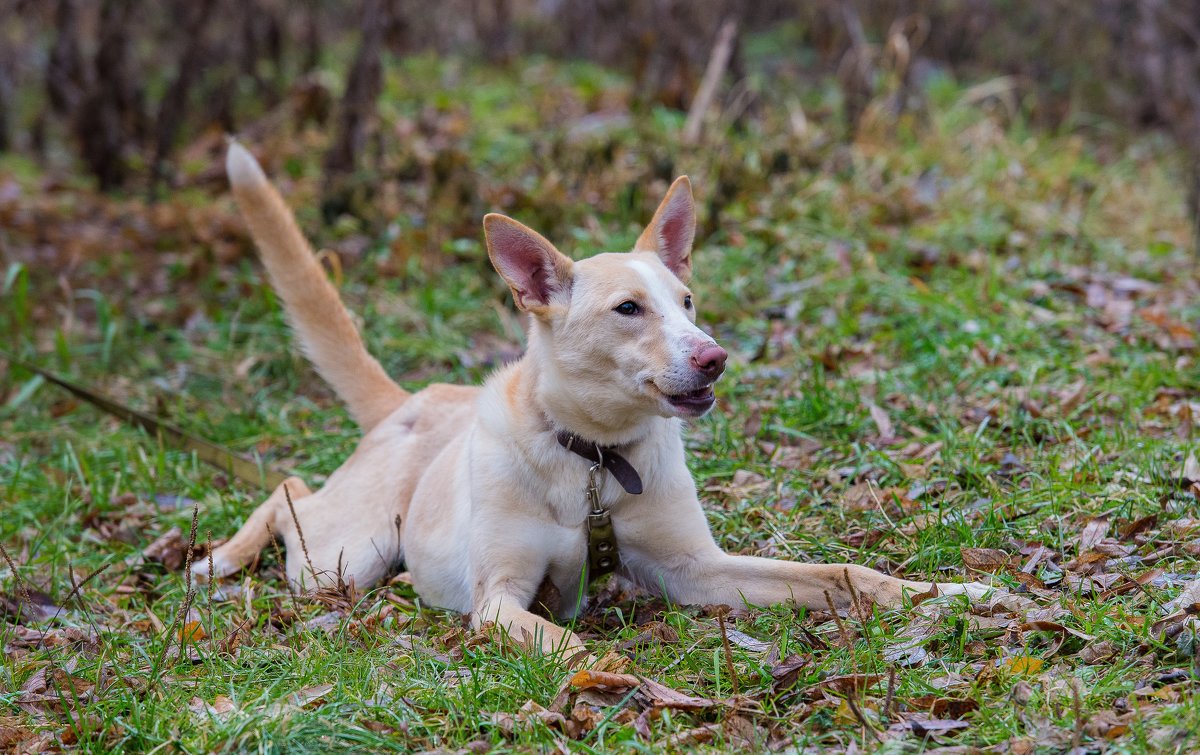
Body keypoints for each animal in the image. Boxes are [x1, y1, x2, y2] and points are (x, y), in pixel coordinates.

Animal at [199, 144, 984, 657]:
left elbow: (844, 574)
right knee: (288, 489)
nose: (714, 357)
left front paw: (951, 597)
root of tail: (410, 398)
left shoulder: (701, 570)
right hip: (343, 557)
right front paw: (616, 684)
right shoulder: (499, 598)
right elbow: (567, 646)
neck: (594, 460)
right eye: (629, 309)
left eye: (687, 301)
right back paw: (220, 558)